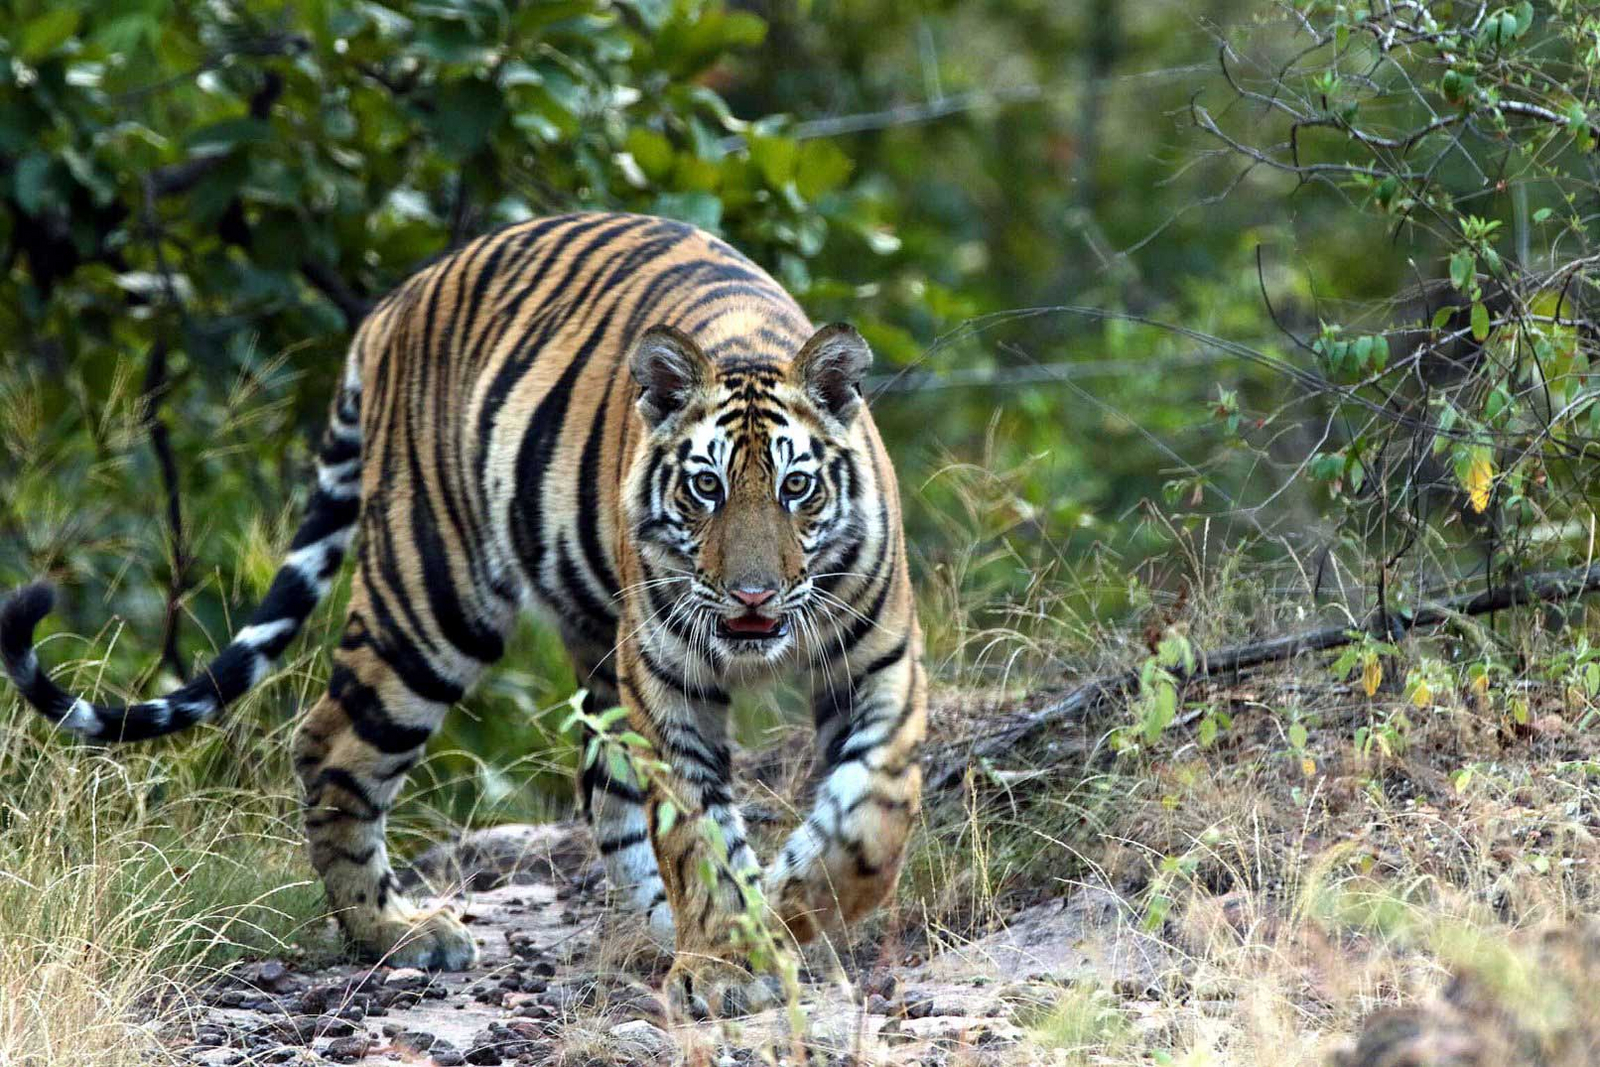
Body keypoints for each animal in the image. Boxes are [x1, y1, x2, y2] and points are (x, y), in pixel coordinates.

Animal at [0, 211, 927, 1007]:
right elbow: (698, 834)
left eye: (796, 487)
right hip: (435, 599)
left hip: (583, 636)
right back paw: (395, 931)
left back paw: (650, 928)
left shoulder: (882, 665)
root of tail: (393, 303)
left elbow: (873, 828)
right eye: (705, 488)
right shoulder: (670, 680)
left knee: (600, 781)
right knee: (332, 743)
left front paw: (786, 906)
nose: (752, 594)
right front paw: (732, 956)